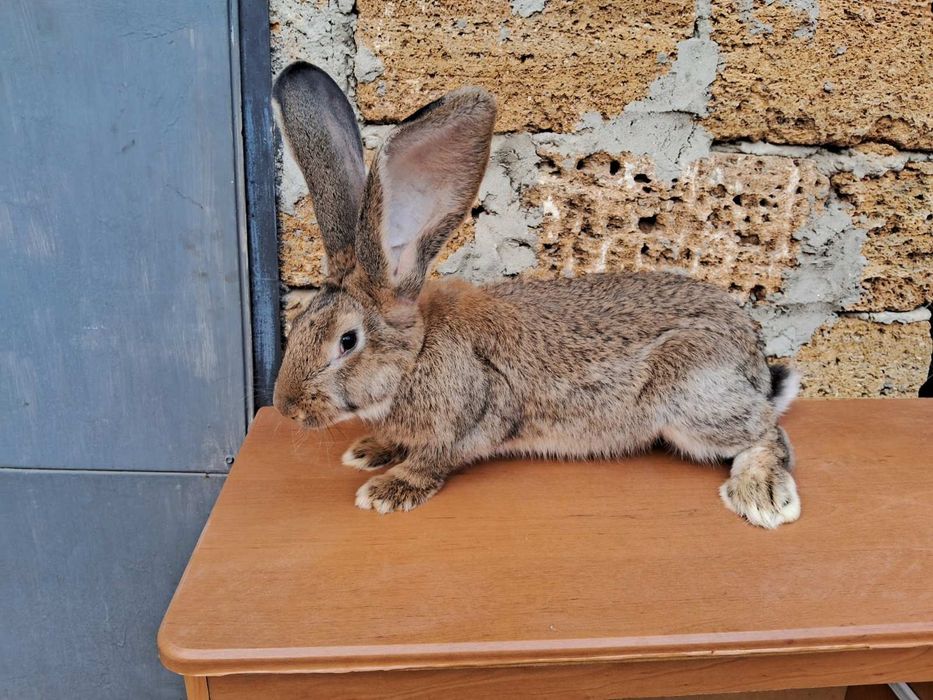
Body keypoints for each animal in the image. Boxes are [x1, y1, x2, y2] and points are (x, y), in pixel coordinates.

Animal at [271, 61, 802, 529]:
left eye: (347, 342)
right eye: (296, 324)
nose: (285, 407)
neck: (416, 354)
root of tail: (755, 361)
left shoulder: (477, 411)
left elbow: (436, 458)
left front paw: (388, 489)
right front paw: (370, 451)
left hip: (693, 399)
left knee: (767, 433)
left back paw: (762, 497)